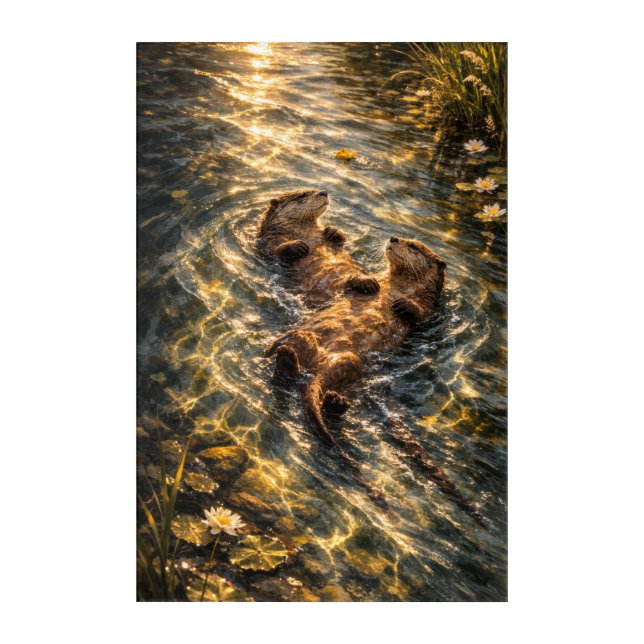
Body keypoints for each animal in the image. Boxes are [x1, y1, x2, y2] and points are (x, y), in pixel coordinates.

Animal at [267, 236, 485, 525]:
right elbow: (350, 284)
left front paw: (405, 306)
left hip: (349, 361)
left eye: (413, 246)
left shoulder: (430, 311)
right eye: (402, 238)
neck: (397, 287)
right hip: (307, 338)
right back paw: (288, 358)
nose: (394, 238)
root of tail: (314, 368)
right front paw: (366, 283)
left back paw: (326, 393)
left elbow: (421, 314)